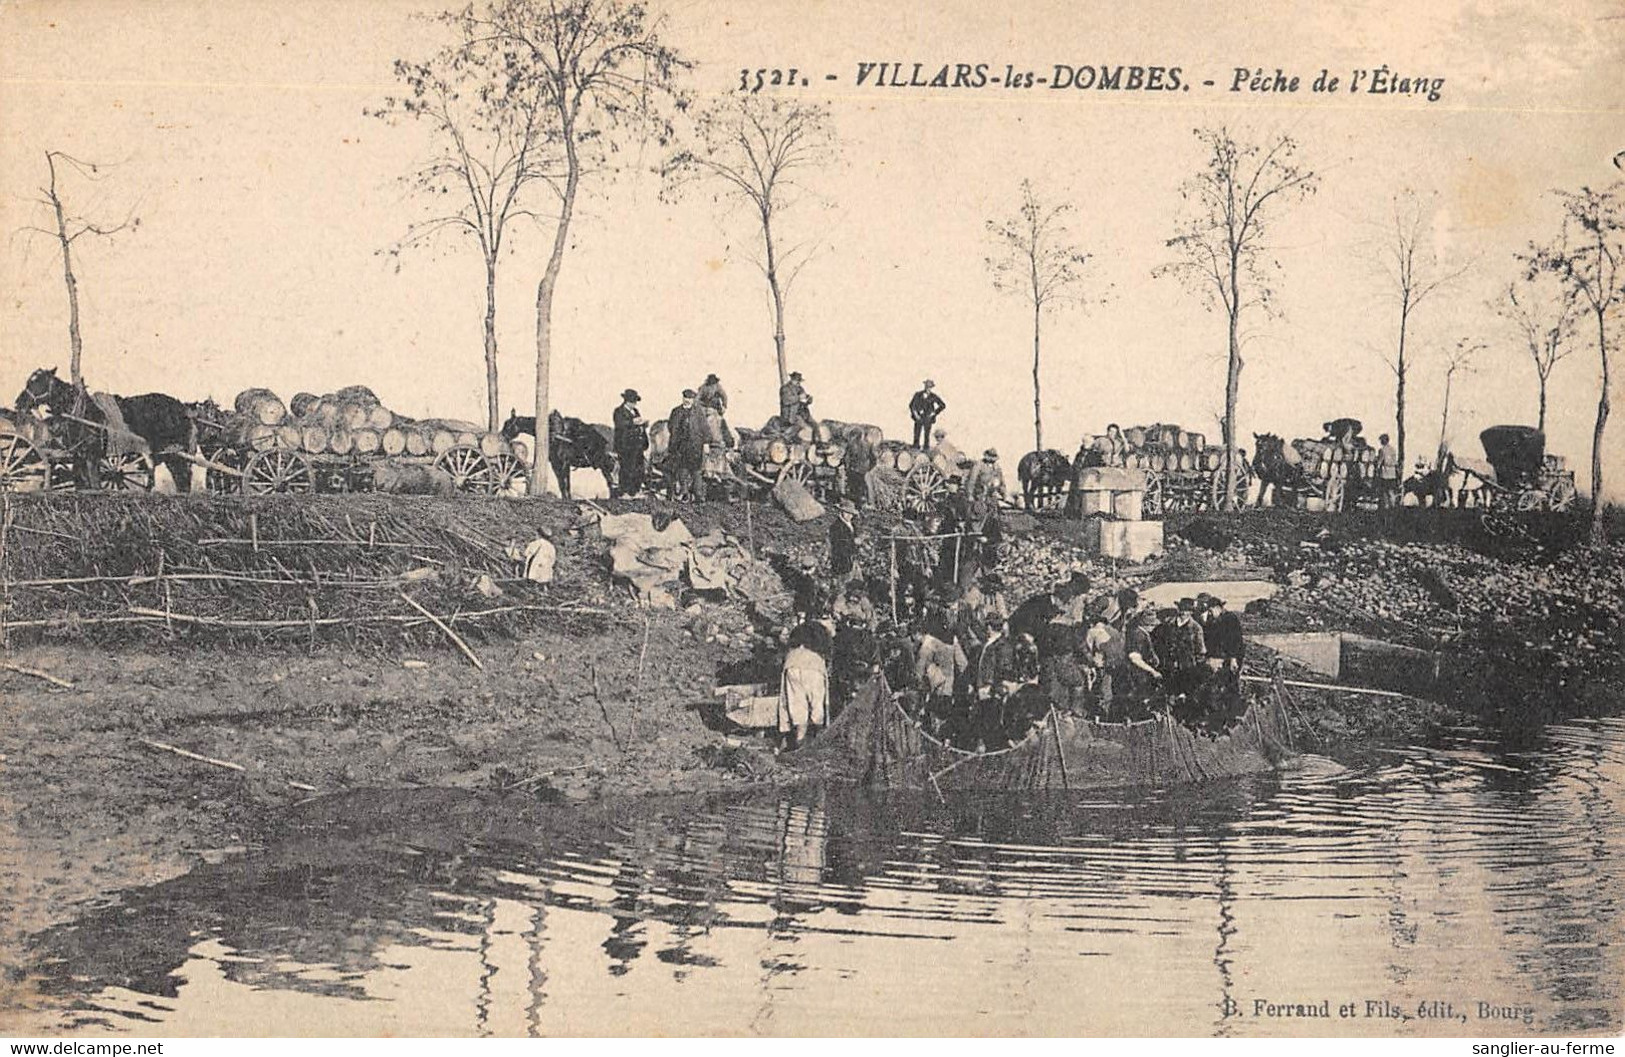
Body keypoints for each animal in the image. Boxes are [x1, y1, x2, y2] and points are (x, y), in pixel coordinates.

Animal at [17, 365, 195, 491]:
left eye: (38, 382)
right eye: (29, 381)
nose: (19, 402)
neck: (83, 413)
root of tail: (182, 408)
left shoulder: (92, 457)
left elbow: (95, 486)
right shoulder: (80, 457)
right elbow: (84, 486)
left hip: (176, 454)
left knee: (183, 479)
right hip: (172, 456)